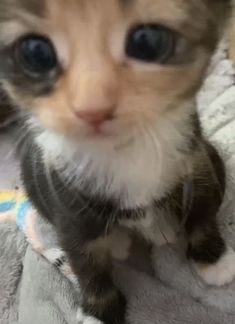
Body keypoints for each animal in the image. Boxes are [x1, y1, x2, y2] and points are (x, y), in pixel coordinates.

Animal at [0, 0, 232, 324]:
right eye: (36, 53)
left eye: (148, 42)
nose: (92, 108)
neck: (125, 148)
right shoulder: (65, 201)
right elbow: (84, 260)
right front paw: (99, 312)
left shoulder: (196, 161)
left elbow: (203, 212)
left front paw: (214, 260)